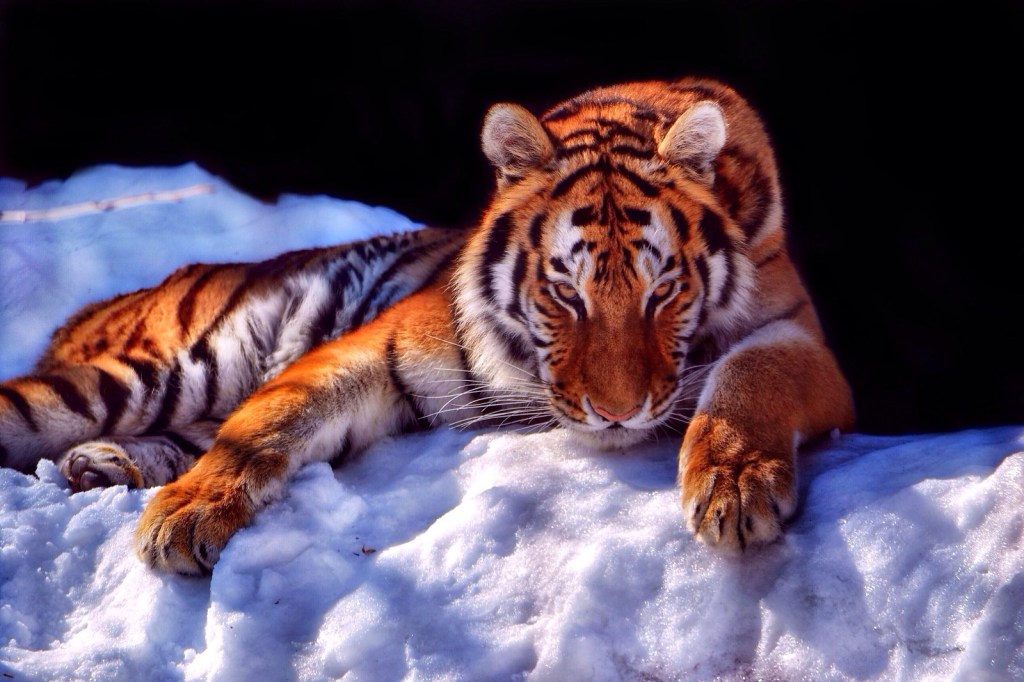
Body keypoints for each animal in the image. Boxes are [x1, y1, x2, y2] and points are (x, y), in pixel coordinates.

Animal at [0, 76, 854, 575]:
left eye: (663, 291)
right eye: (565, 293)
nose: (618, 415)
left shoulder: (800, 338)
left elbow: (751, 376)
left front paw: (734, 488)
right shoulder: (378, 349)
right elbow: (273, 418)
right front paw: (186, 516)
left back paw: (102, 465)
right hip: (141, 374)